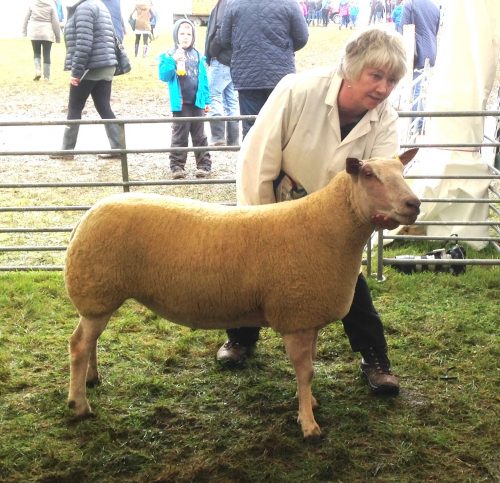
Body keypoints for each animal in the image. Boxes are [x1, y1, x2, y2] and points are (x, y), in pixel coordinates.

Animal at [64, 149, 420, 440]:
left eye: (402, 171)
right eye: (370, 175)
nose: (414, 204)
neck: (331, 228)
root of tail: (88, 214)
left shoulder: (307, 314)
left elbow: (309, 369)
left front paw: (309, 402)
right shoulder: (294, 316)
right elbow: (305, 371)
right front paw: (308, 425)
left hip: (99, 297)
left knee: (90, 341)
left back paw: (92, 380)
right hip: (95, 291)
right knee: (79, 344)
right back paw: (79, 404)